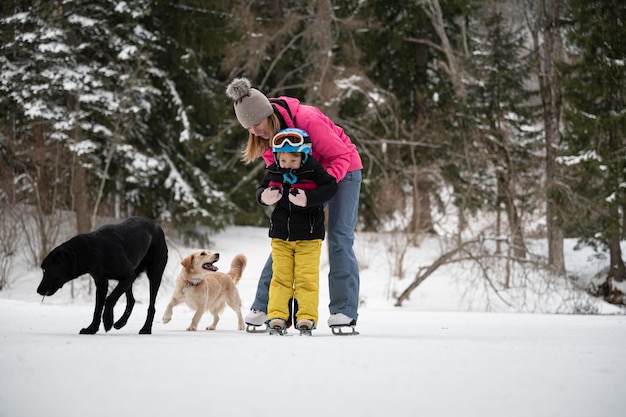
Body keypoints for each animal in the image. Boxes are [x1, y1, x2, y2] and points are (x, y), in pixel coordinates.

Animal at [37, 216, 168, 334]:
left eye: (46, 270)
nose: (38, 290)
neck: (93, 251)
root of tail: (157, 226)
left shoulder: (128, 276)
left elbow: (109, 299)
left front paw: (108, 321)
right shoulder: (102, 282)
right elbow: (97, 308)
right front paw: (92, 329)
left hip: (154, 275)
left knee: (151, 306)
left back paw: (146, 329)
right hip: (131, 279)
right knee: (132, 301)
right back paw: (120, 323)